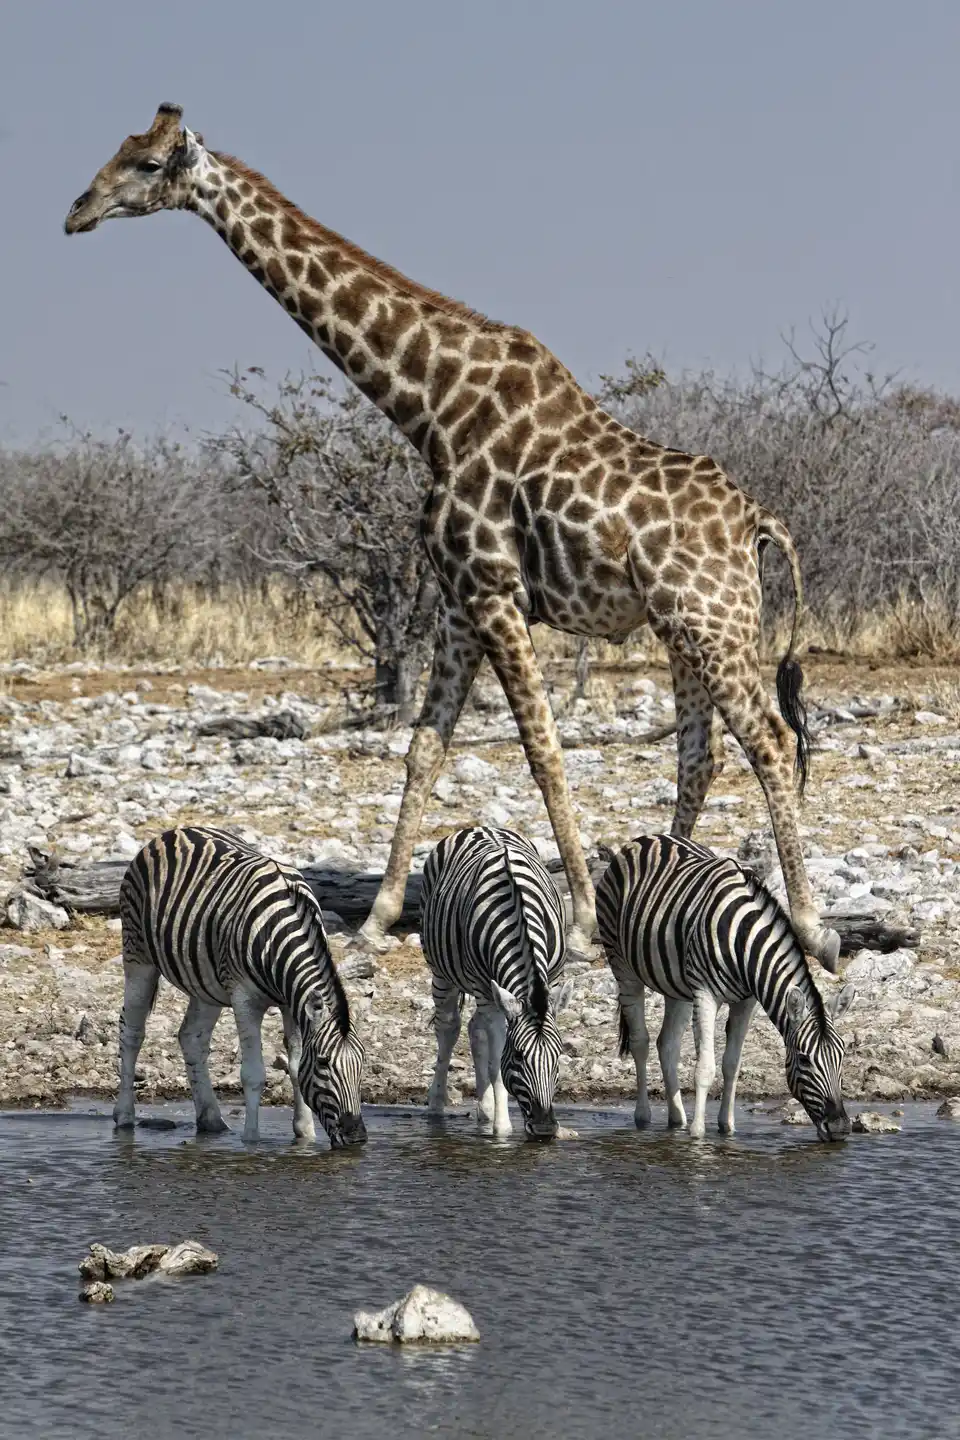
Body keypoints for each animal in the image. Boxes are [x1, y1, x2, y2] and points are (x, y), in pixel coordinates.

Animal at [64, 104, 841, 973]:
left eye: (147, 164)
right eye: (121, 151)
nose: (77, 212)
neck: (430, 408)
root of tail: (759, 522)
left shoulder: (496, 591)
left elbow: (542, 749)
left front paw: (577, 921)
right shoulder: (459, 601)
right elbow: (424, 748)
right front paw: (375, 918)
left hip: (712, 622)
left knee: (770, 740)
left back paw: (813, 926)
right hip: (684, 629)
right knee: (700, 754)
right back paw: (668, 891)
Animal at [116, 825, 366, 1148]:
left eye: (362, 1063)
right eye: (323, 1063)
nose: (357, 1137)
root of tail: (175, 831)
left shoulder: (292, 1002)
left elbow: (295, 1066)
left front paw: (305, 1135)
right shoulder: (244, 998)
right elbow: (253, 1073)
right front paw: (251, 1141)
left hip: (204, 981)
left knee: (191, 1037)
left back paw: (211, 1120)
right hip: (138, 958)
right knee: (132, 1033)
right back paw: (124, 1117)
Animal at [420, 826, 573, 1138]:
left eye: (558, 1056)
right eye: (518, 1056)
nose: (544, 1129)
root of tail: (478, 827)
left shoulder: (549, 980)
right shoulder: (486, 991)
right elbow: (496, 1060)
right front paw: (502, 1128)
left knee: (474, 1028)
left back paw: (485, 1108)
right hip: (442, 972)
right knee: (449, 1027)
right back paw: (438, 1103)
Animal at [595, 833, 855, 1141]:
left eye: (842, 1057)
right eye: (804, 1060)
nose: (840, 1129)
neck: (744, 940)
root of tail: (646, 839)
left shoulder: (746, 1001)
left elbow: (731, 1064)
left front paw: (727, 1128)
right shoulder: (706, 994)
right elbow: (705, 1068)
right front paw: (698, 1134)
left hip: (677, 986)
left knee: (667, 1044)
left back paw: (676, 1119)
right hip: (621, 964)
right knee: (640, 1042)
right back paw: (644, 1118)